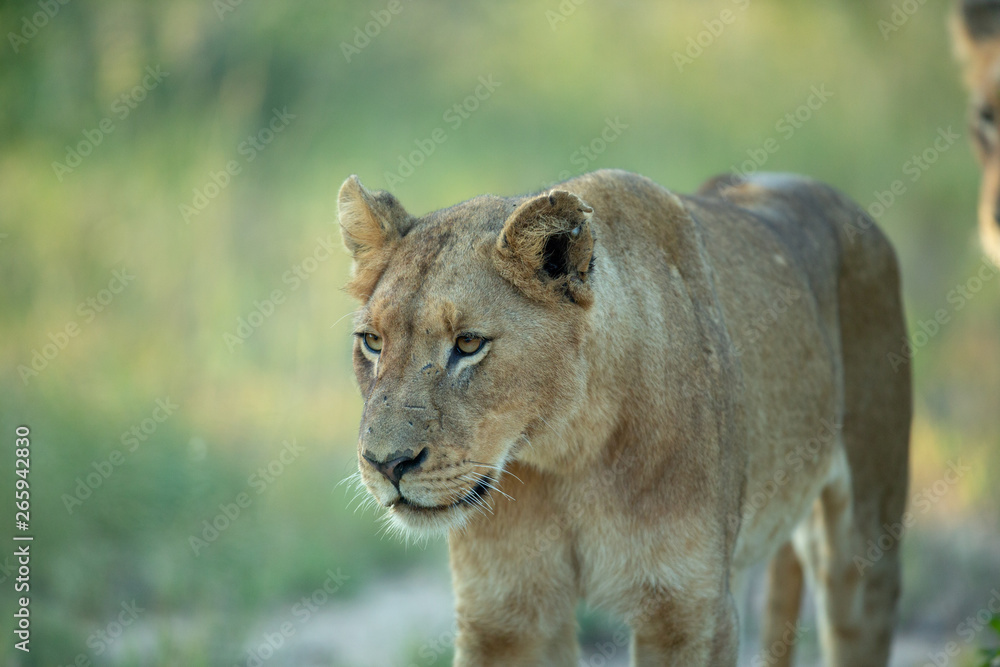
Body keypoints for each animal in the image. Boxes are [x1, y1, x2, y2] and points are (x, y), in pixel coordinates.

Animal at [339, 168, 911, 666]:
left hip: (864, 546)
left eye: (468, 344)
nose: (386, 464)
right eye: (372, 342)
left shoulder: (691, 612)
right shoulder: (504, 614)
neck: (569, 454)